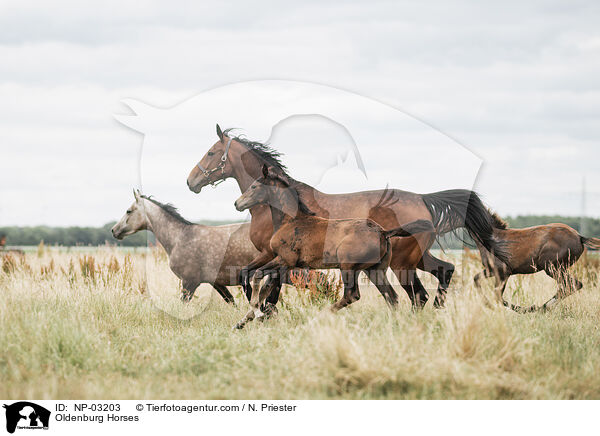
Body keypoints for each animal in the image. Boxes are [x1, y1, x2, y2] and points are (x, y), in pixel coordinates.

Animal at [112, 191, 260, 304]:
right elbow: (231, 301)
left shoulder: (189, 282)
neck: (179, 238)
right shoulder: (216, 283)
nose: (114, 230)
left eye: (128, 211)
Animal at [186, 124, 506, 310]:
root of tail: (423, 200)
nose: (191, 182)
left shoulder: (273, 254)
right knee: (442, 273)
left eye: (212, 152)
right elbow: (257, 277)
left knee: (418, 294)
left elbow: (265, 282)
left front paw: (264, 310)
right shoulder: (270, 255)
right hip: (413, 259)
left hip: (403, 262)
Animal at [232, 165, 434, 328]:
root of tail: (383, 232)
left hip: (348, 266)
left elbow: (258, 276)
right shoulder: (281, 263)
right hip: (375, 270)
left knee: (352, 295)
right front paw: (243, 321)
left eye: (254, 187)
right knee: (391, 297)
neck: (291, 221)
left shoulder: (284, 260)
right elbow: (264, 286)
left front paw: (256, 311)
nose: (237, 203)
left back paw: (316, 319)